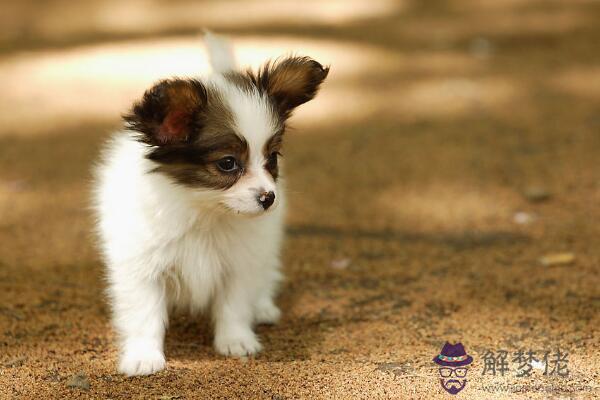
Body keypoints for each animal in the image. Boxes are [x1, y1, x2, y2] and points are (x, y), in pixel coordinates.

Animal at [93, 33, 328, 376]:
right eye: (228, 163)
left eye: (272, 158)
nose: (269, 198)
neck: (204, 211)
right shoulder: (141, 267)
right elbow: (144, 315)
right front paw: (143, 356)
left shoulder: (240, 263)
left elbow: (234, 305)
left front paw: (237, 341)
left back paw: (263, 307)